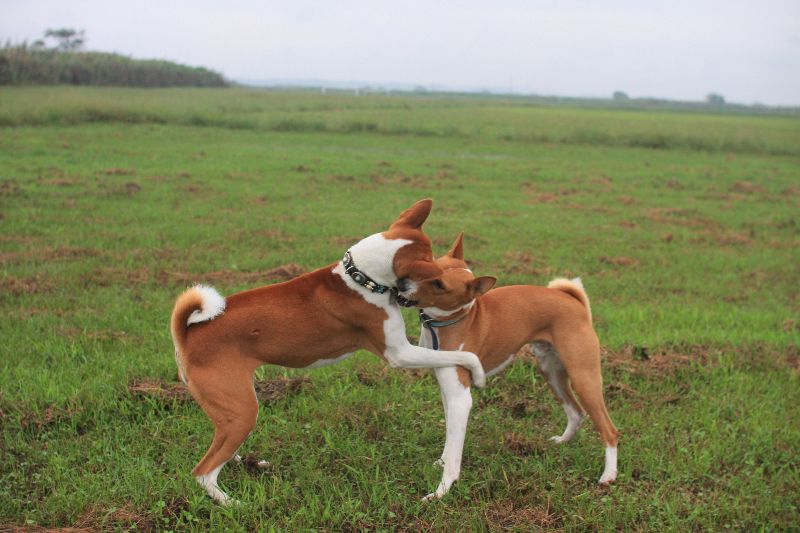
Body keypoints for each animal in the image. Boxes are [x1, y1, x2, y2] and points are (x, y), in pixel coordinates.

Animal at [170, 200, 486, 504]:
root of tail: (187, 335)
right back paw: (232, 502)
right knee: (203, 472)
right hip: (243, 410)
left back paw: (244, 462)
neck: (361, 278)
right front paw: (479, 373)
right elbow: (464, 355)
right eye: (434, 277)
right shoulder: (399, 353)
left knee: (220, 444)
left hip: (231, 407)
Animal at [409, 233, 618, 500]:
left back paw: (608, 475)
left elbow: (454, 452)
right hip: (551, 372)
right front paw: (441, 462)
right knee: (576, 412)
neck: (457, 318)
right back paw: (561, 442)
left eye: (440, 285)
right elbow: (449, 436)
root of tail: (575, 301)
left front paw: (441, 492)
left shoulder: (460, 398)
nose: (402, 284)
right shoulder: (448, 390)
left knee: (609, 430)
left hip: (584, 377)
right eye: (430, 263)